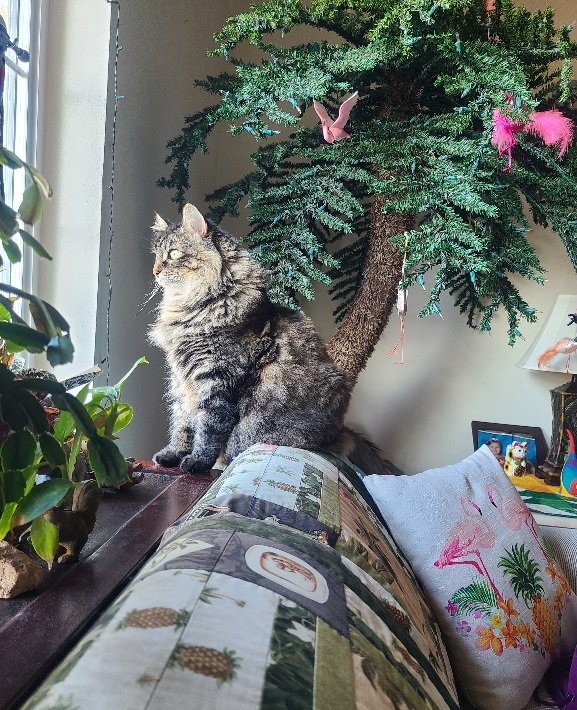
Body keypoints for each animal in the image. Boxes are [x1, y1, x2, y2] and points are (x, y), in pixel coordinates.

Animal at [150, 203, 378, 476]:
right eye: (156, 256)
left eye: (173, 254)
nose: (155, 271)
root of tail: (338, 432)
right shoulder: (181, 380)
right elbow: (181, 425)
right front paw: (172, 455)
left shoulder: (215, 382)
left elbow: (207, 430)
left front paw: (197, 463)